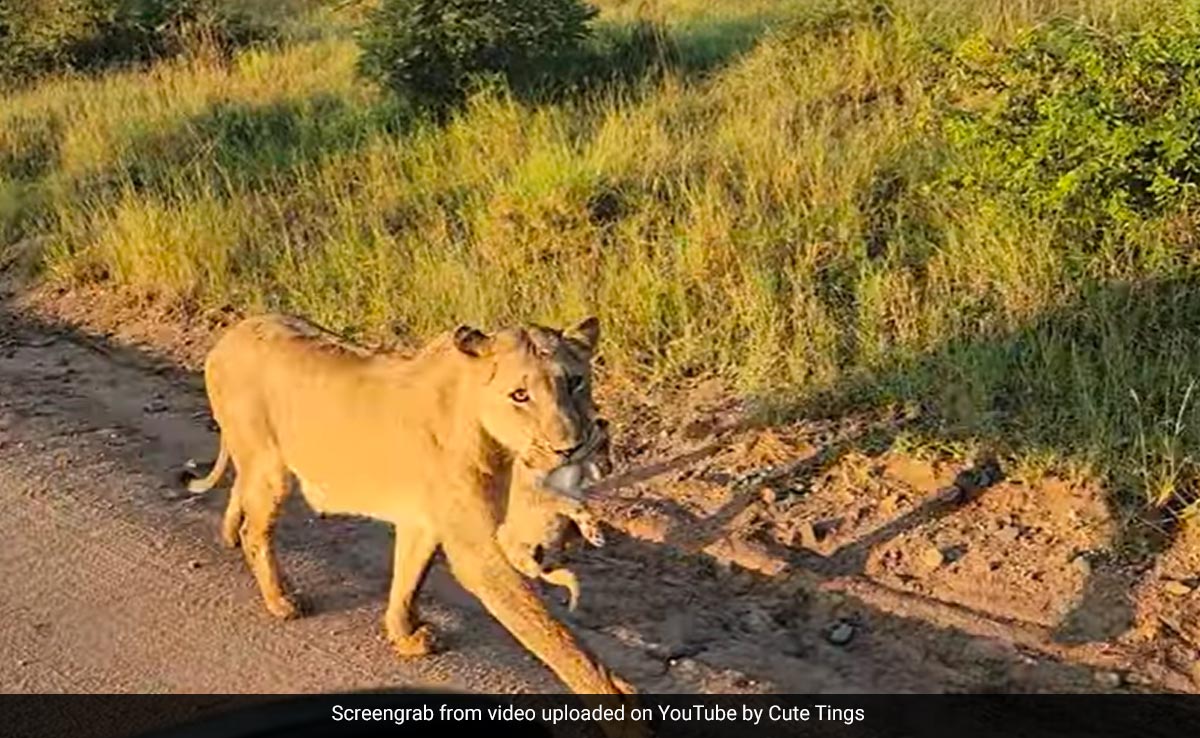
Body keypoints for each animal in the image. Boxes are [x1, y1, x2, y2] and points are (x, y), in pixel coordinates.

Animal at [184, 312, 644, 734]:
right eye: (520, 394)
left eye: (576, 382)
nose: (570, 448)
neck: (489, 434)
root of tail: (234, 331)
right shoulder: (477, 552)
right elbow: (555, 636)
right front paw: (621, 710)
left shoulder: (423, 522)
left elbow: (408, 580)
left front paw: (404, 636)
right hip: (270, 466)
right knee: (257, 529)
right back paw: (280, 599)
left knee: (240, 490)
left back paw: (229, 536)